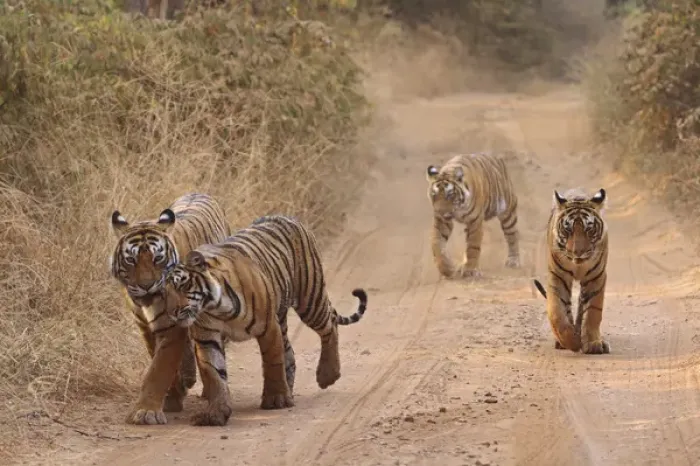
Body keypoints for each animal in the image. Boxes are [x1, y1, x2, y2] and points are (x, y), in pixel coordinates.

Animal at [109, 193, 232, 425]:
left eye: (157, 258)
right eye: (131, 260)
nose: (146, 285)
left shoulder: (172, 325)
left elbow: (160, 367)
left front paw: (146, 411)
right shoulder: (146, 327)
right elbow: (160, 361)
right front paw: (172, 398)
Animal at [162, 215, 369, 426]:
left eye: (182, 286)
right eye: (163, 293)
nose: (172, 313)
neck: (216, 306)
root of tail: (288, 216)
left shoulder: (269, 326)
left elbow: (272, 361)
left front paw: (276, 399)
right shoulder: (207, 337)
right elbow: (213, 373)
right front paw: (215, 413)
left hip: (310, 298)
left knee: (330, 325)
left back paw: (327, 375)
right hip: (285, 314)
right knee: (291, 352)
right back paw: (291, 389)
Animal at [532, 187, 610, 355]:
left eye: (589, 230)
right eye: (568, 230)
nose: (577, 252)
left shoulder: (596, 277)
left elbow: (593, 312)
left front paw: (593, 343)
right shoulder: (557, 277)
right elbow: (557, 313)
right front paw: (572, 342)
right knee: (567, 309)